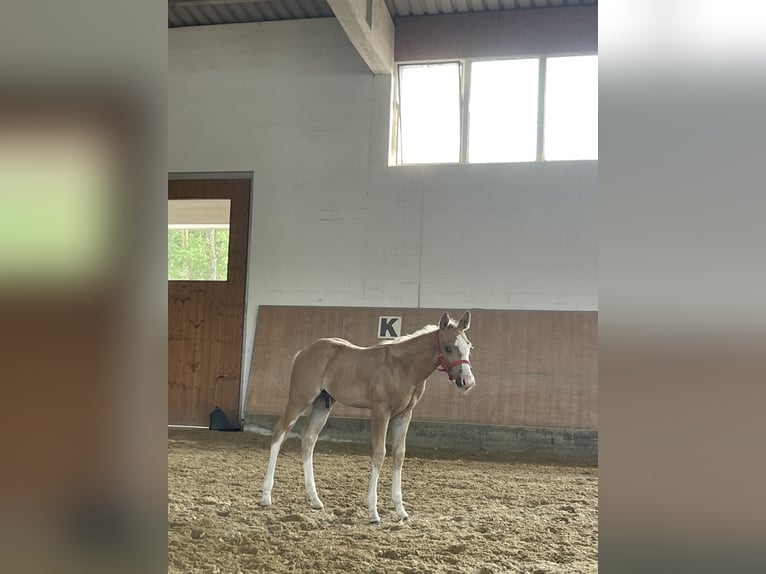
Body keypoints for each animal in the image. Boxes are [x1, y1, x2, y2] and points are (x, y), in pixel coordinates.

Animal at [259, 311, 475, 523]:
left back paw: (315, 499)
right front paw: (373, 512)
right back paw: (266, 496)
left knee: (308, 438)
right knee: (279, 433)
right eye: (448, 348)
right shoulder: (380, 411)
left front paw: (401, 511)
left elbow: (399, 454)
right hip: (299, 399)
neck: (403, 367)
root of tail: (303, 352)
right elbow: (379, 453)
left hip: (322, 403)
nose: (468, 381)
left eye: (468, 346)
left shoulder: (404, 415)